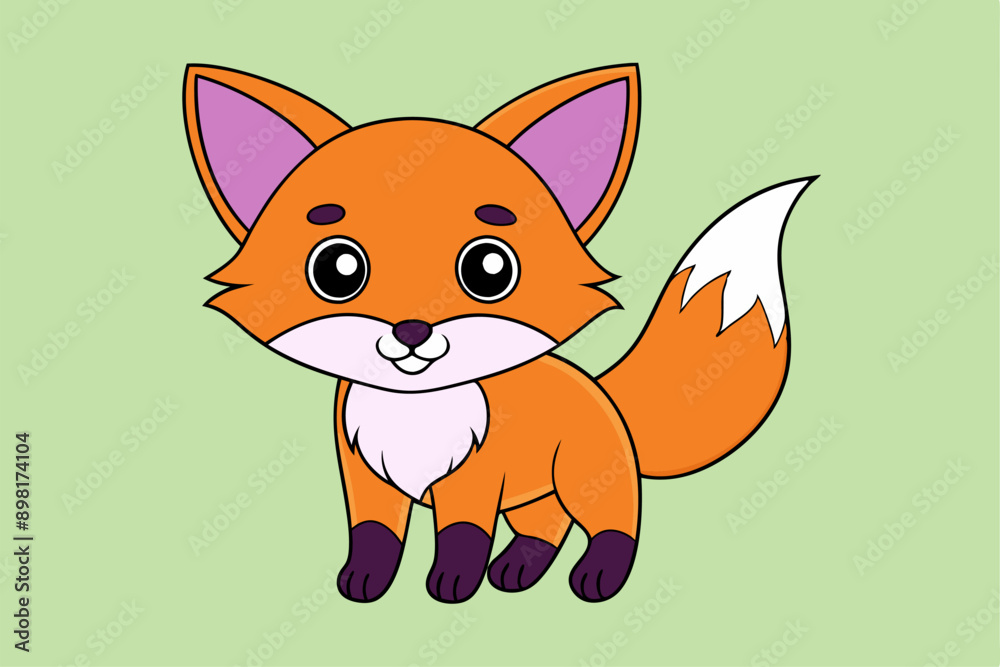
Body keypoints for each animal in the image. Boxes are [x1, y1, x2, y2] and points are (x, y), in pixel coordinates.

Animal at [182, 63, 815, 603]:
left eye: (489, 269)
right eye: (337, 270)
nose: (412, 330)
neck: (414, 413)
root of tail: (599, 387)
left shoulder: (474, 480)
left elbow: (462, 536)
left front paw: (452, 583)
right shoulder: (366, 476)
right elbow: (375, 537)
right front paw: (365, 580)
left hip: (583, 476)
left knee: (616, 522)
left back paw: (598, 576)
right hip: (537, 490)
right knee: (546, 526)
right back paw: (518, 569)